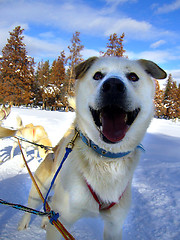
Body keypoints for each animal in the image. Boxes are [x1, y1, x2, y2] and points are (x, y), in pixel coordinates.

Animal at [18, 56, 166, 240]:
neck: (105, 157)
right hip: (41, 186)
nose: (113, 86)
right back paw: (23, 224)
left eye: (133, 76)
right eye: (97, 75)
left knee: (49, 206)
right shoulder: (62, 217)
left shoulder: (114, 225)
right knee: (34, 203)